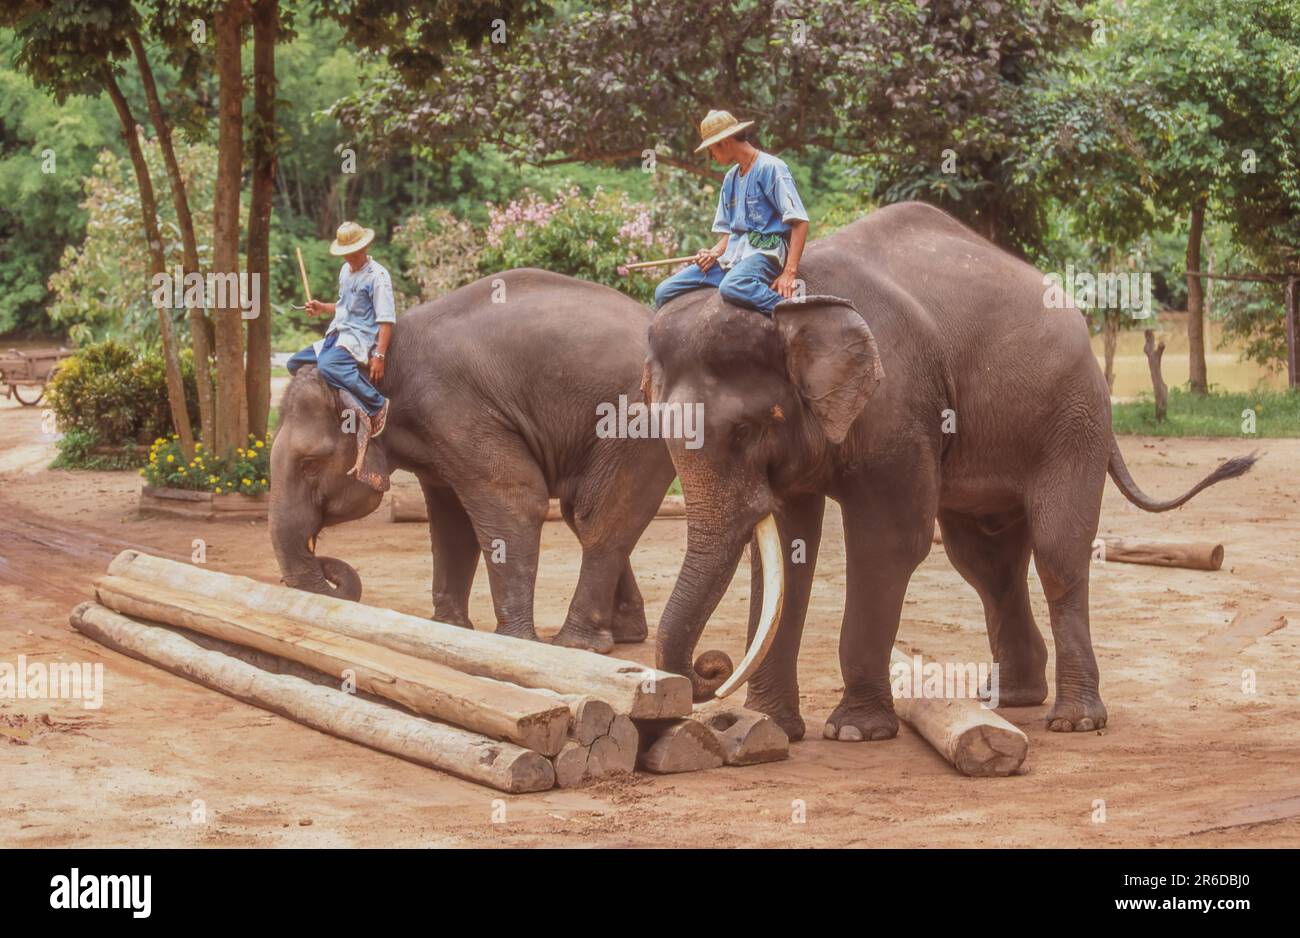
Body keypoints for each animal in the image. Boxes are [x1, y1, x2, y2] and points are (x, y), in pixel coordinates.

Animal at [275, 266, 681, 654]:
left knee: (597, 518)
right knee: (581, 515)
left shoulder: (458, 411)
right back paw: (623, 635)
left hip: (634, 423)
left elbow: (517, 502)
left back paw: (575, 644)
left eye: (310, 463)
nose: (324, 561)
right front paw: (449, 628)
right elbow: (451, 521)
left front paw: (515, 642)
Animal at [650, 201, 1258, 743]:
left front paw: (855, 732)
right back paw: (1008, 698)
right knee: (986, 563)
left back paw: (1075, 720)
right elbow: (787, 551)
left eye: (744, 430)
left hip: (1075, 419)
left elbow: (890, 541)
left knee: (1057, 554)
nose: (709, 668)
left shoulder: (899, 405)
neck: (790, 304)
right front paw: (772, 726)